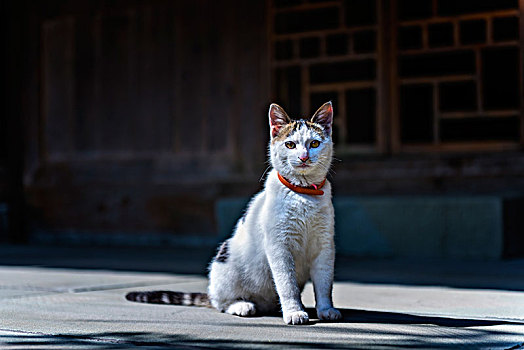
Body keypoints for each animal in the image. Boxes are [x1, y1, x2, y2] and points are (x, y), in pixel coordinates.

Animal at [125, 101, 342, 326]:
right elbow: (287, 285)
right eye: (290, 145)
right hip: (225, 263)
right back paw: (242, 305)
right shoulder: (279, 247)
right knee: (220, 303)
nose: (304, 156)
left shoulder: (325, 246)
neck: (303, 194)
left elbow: (324, 284)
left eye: (314, 144)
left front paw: (326, 309)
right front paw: (294, 312)